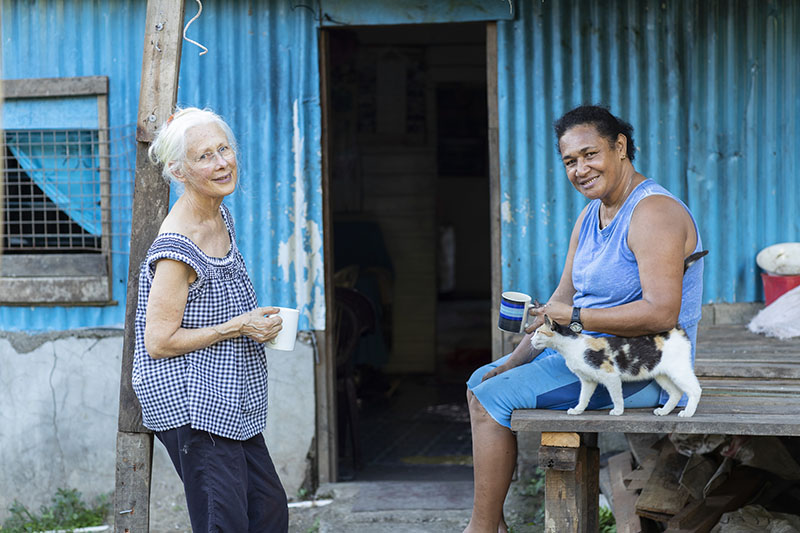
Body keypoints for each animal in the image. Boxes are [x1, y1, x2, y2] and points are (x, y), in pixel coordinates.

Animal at [532, 314, 700, 418]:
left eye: (538, 332)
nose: (531, 340)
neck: (571, 346)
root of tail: (675, 331)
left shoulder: (611, 376)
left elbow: (616, 396)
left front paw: (618, 411)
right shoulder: (588, 380)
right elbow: (583, 397)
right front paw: (578, 410)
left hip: (679, 371)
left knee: (695, 390)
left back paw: (688, 413)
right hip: (661, 374)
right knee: (676, 393)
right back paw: (664, 411)